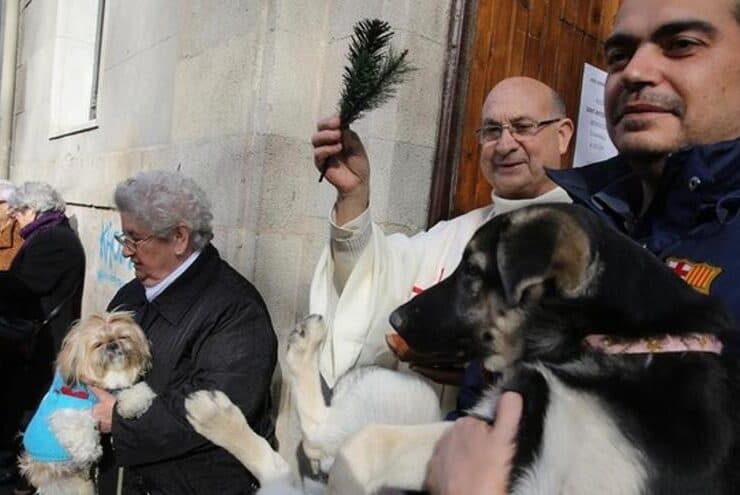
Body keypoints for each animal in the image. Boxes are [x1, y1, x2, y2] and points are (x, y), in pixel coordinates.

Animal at [18, 312, 155, 494]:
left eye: (123, 337)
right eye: (98, 344)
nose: (112, 344)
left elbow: (134, 391)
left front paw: (133, 403)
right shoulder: (66, 412)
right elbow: (79, 427)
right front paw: (90, 452)